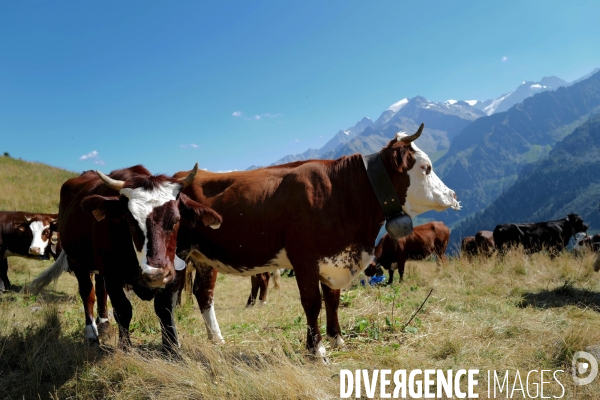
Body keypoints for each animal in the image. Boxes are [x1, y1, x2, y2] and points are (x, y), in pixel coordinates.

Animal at [29, 164, 221, 352]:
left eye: (176, 220)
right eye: (130, 220)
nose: (155, 274)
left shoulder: (175, 270)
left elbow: (165, 308)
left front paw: (172, 349)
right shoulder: (111, 272)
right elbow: (123, 309)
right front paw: (125, 347)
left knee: (100, 290)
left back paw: (104, 324)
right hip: (78, 262)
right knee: (88, 294)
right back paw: (92, 334)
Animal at [171, 123, 462, 360]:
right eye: (426, 168)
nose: (453, 194)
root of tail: (178, 176)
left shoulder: (333, 259)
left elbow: (333, 299)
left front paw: (337, 339)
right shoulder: (304, 258)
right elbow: (313, 302)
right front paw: (317, 350)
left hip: (205, 257)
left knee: (204, 293)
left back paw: (216, 338)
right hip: (177, 254)